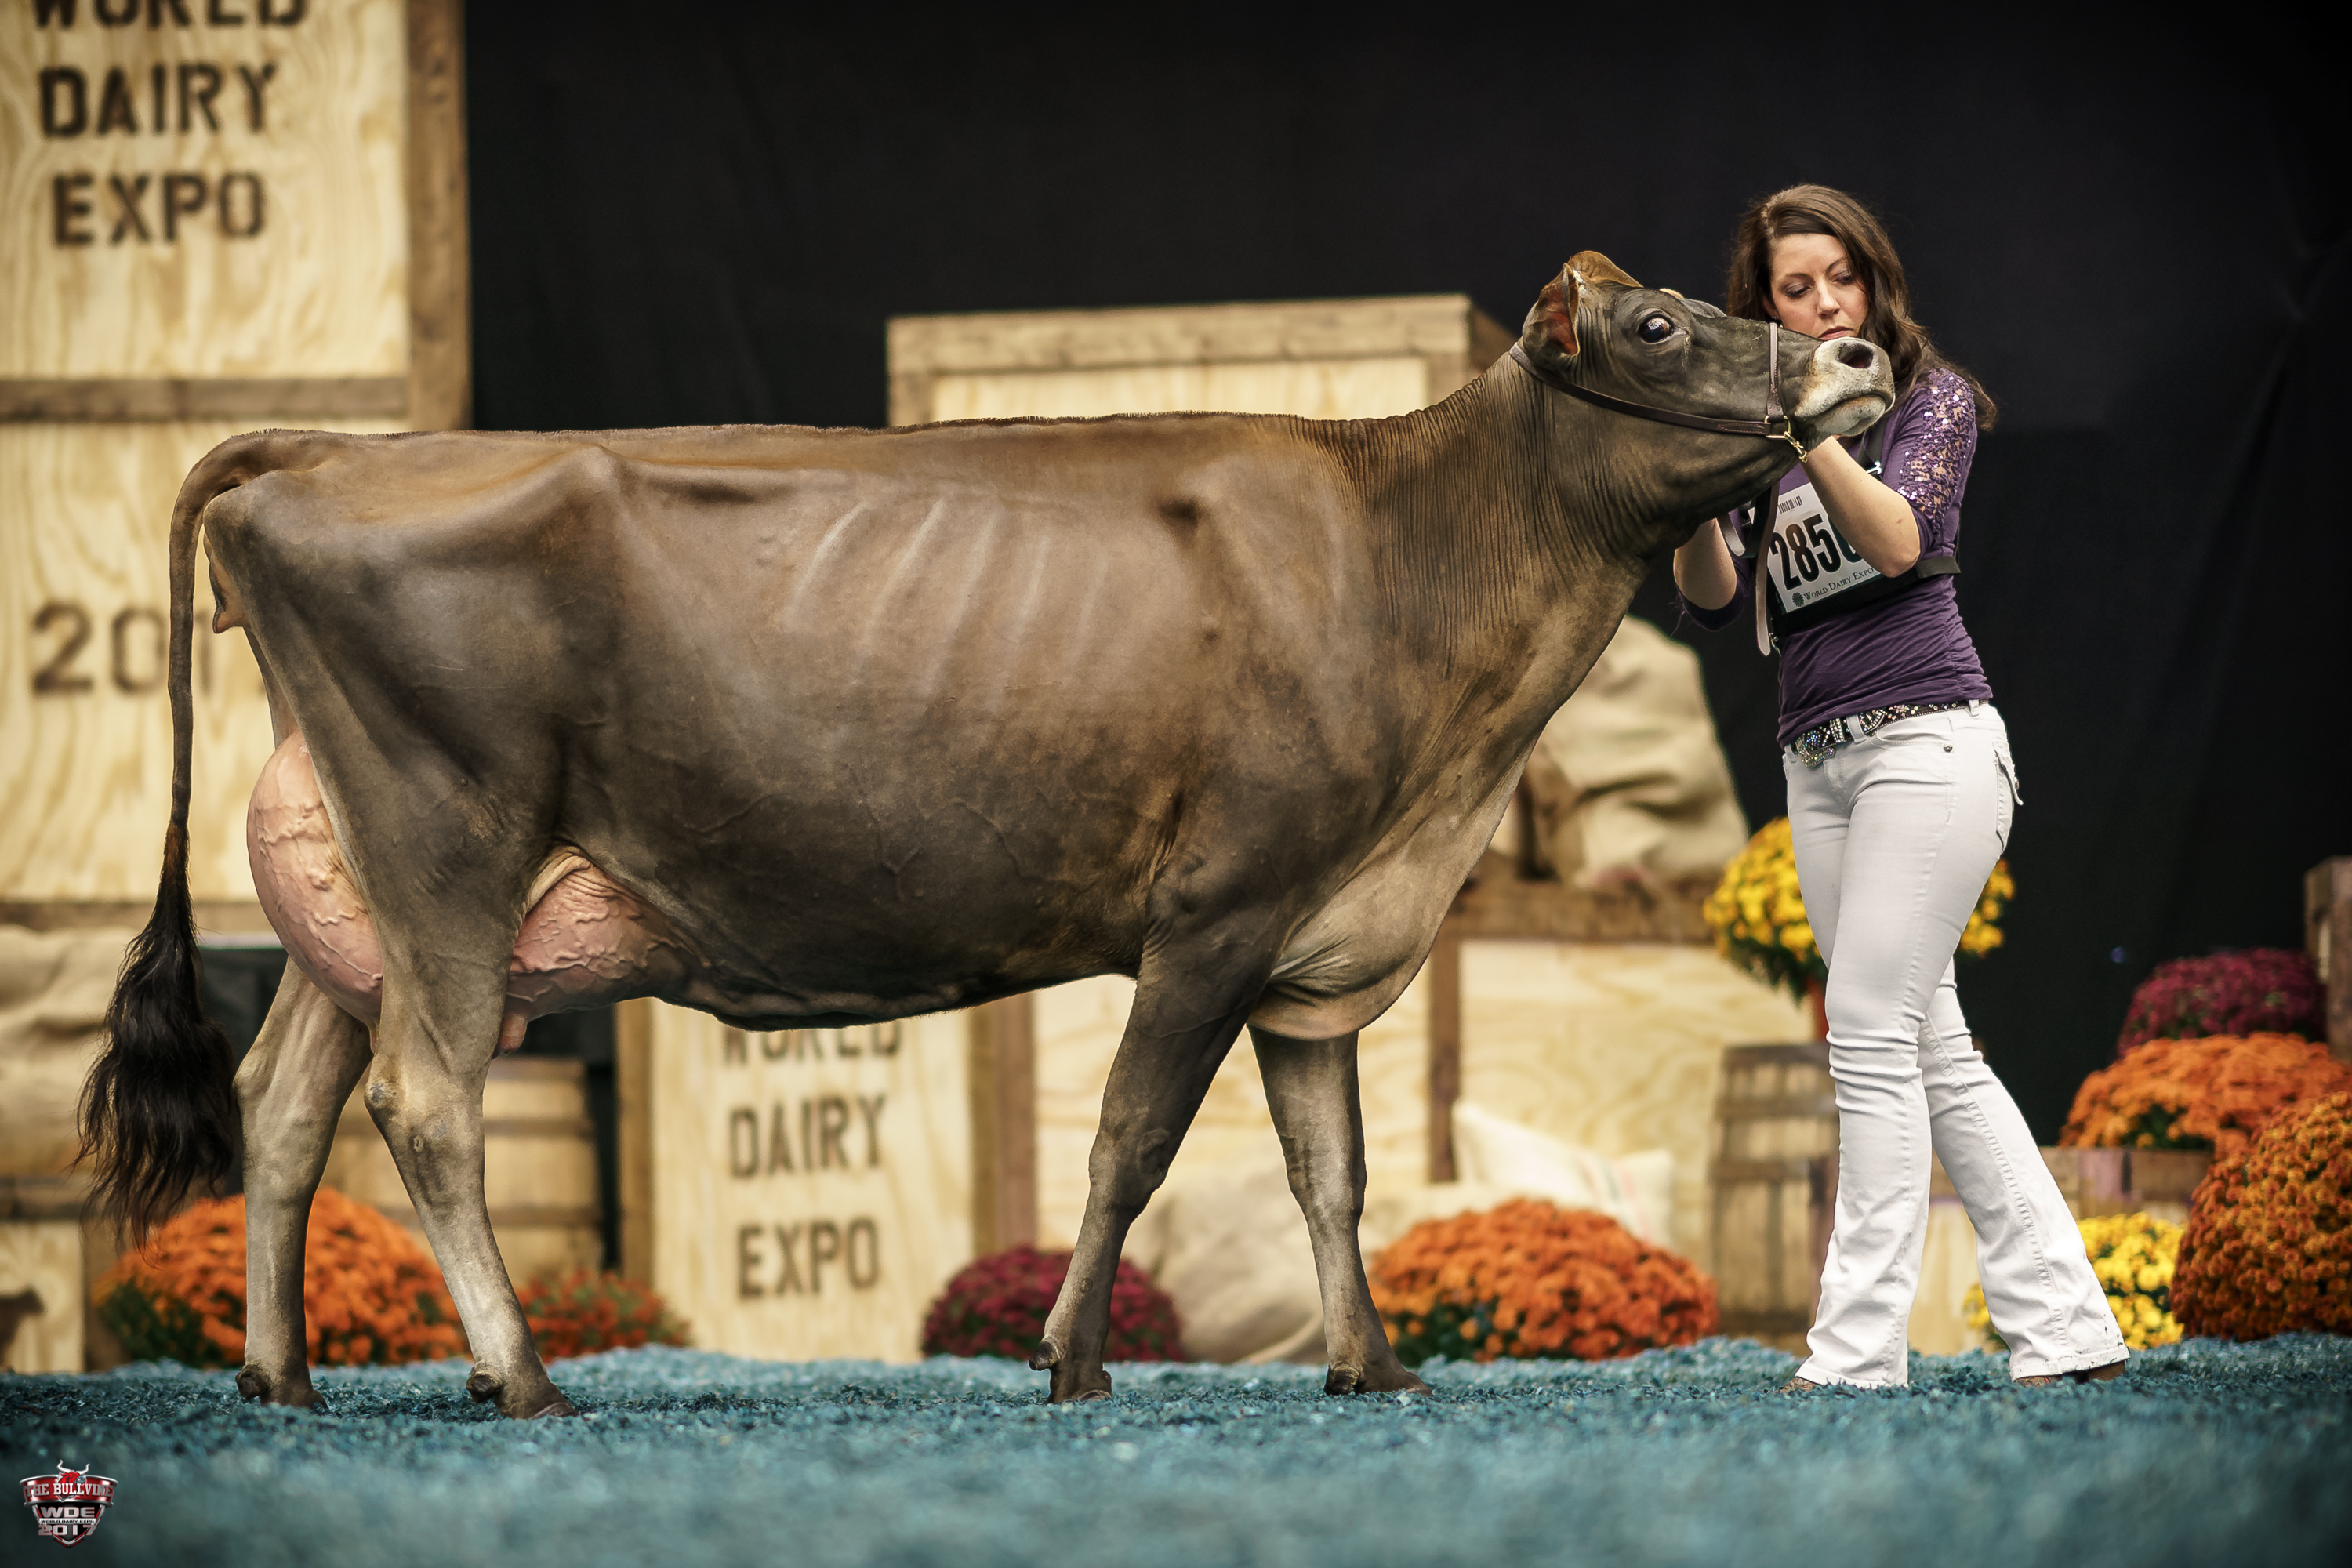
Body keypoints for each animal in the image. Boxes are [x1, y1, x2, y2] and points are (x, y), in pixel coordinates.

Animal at [84, 253, 1892, 1418]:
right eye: (1659, 323)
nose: (1862, 362)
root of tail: (332, 450)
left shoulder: (1319, 940)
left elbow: (1334, 1170)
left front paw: (1370, 1364)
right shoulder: (1219, 910)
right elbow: (1132, 1140)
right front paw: (1072, 1359)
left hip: (361, 894)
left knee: (286, 1101)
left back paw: (283, 1374)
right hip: (450, 848)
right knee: (424, 1103)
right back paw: (520, 1376)